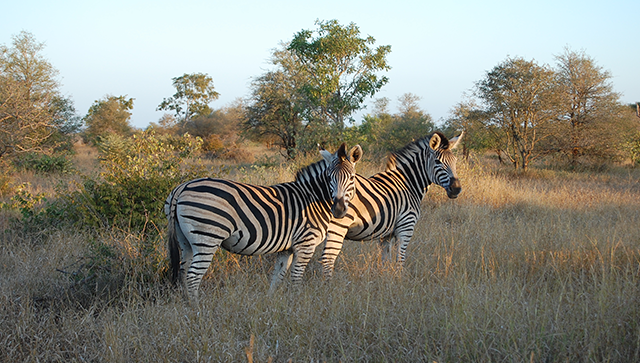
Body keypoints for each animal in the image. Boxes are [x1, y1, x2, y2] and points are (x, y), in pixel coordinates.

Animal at [165, 142, 362, 298]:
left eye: (351, 177)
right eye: (329, 177)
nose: (338, 210)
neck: (313, 197)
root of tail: (182, 187)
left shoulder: (287, 248)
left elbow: (277, 276)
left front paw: (271, 302)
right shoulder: (305, 243)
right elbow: (296, 278)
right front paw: (297, 303)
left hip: (185, 241)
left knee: (183, 273)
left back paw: (186, 306)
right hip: (206, 237)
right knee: (192, 277)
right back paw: (197, 310)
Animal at [322, 132, 462, 278]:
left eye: (455, 161)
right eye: (438, 162)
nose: (456, 189)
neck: (408, 184)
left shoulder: (386, 234)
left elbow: (386, 260)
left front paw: (386, 278)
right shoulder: (406, 227)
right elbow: (400, 259)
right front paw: (399, 280)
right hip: (338, 225)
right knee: (328, 258)